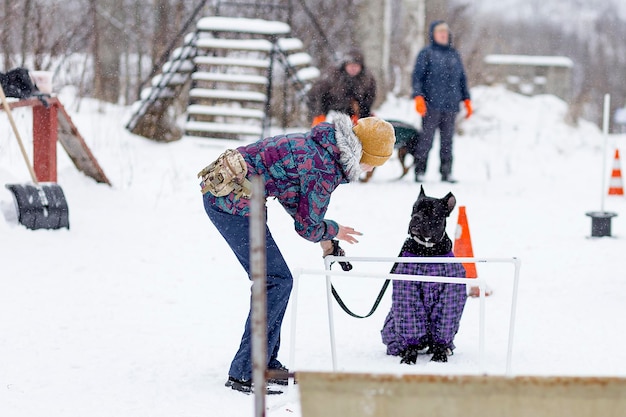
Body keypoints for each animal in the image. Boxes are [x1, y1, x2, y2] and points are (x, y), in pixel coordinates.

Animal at [378, 185, 466, 360]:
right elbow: (411, 323)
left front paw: (439, 356)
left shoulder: (450, 294)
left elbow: (443, 326)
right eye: (414, 209)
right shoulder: (407, 292)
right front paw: (409, 358)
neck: (428, 251)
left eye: (431, 212)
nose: (416, 218)